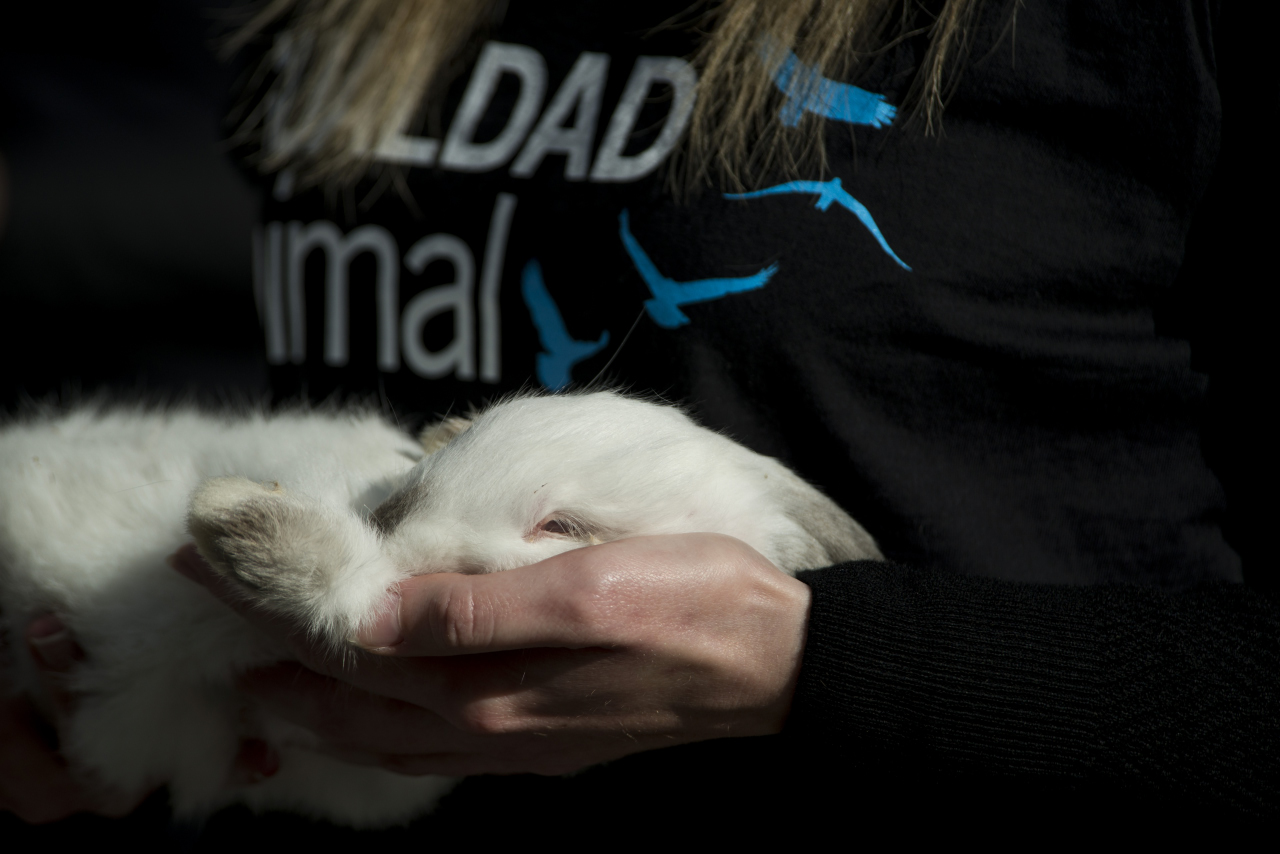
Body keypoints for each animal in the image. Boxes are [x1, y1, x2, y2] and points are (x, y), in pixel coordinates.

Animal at [0, 394, 880, 829]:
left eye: (562, 528)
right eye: (420, 487)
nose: (410, 537)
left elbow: (351, 595)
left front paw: (235, 523)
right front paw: (232, 511)